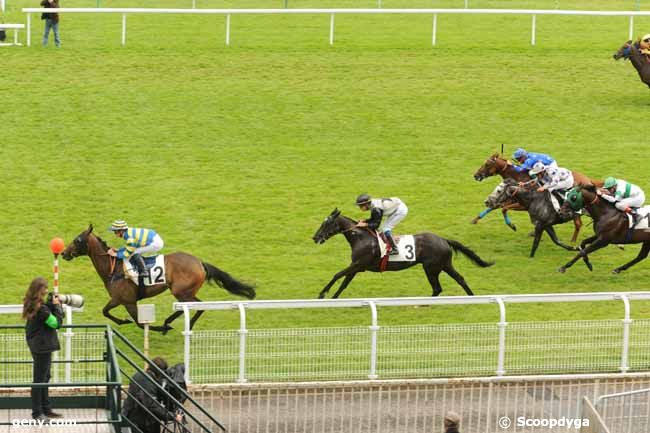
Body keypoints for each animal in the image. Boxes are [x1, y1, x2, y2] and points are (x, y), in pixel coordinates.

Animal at [60, 224, 253, 332]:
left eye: (77, 240)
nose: (63, 253)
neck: (113, 269)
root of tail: (199, 263)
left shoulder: (127, 300)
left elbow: (137, 322)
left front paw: (155, 327)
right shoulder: (118, 300)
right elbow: (105, 311)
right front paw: (123, 321)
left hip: (181, 291)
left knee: (196, 305)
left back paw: (173, 324)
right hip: (183, 292)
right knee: (192, 306)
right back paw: (175, 323)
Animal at [310, 208, 492, 296]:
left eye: (326, 224)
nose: (315, 237)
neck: (361, 237)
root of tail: (443, 239)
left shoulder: (357, 264)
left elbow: (337, 275)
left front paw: (322, 294)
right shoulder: (357, 267)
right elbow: (343, 283)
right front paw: (332, 299)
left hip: (431, 268)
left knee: (437, 288)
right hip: (445, 265)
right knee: (460, 279)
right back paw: (471, 297)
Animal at [470, 153, 604, 241]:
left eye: (487, 164)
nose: (476, 175)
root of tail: (589, 180)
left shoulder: (522, 204)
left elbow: (503, 208)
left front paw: (512, 226)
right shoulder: (509, 198)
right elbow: (494, 206)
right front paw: (475, 219)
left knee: (578, 224)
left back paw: (572, 242)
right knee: (578, 223)